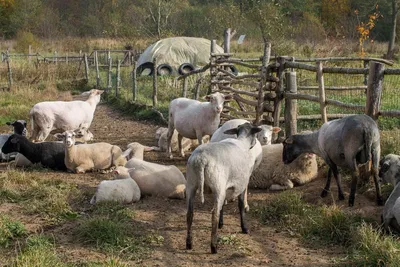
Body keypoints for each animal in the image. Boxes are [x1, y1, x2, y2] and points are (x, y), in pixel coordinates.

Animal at [185, 122, 262, 254]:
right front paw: (244, 228)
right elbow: (240, 205)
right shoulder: (241, 184)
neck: (242, 141)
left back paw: (189, 243)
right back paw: (214, 246)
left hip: (191, 184)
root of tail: (201, 159)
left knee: (190, 213)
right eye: (255, 133)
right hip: (217, 185)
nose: (256, 143)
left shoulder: (226, 186)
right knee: (214, 214)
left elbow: (223, 205)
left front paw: (222, 223)